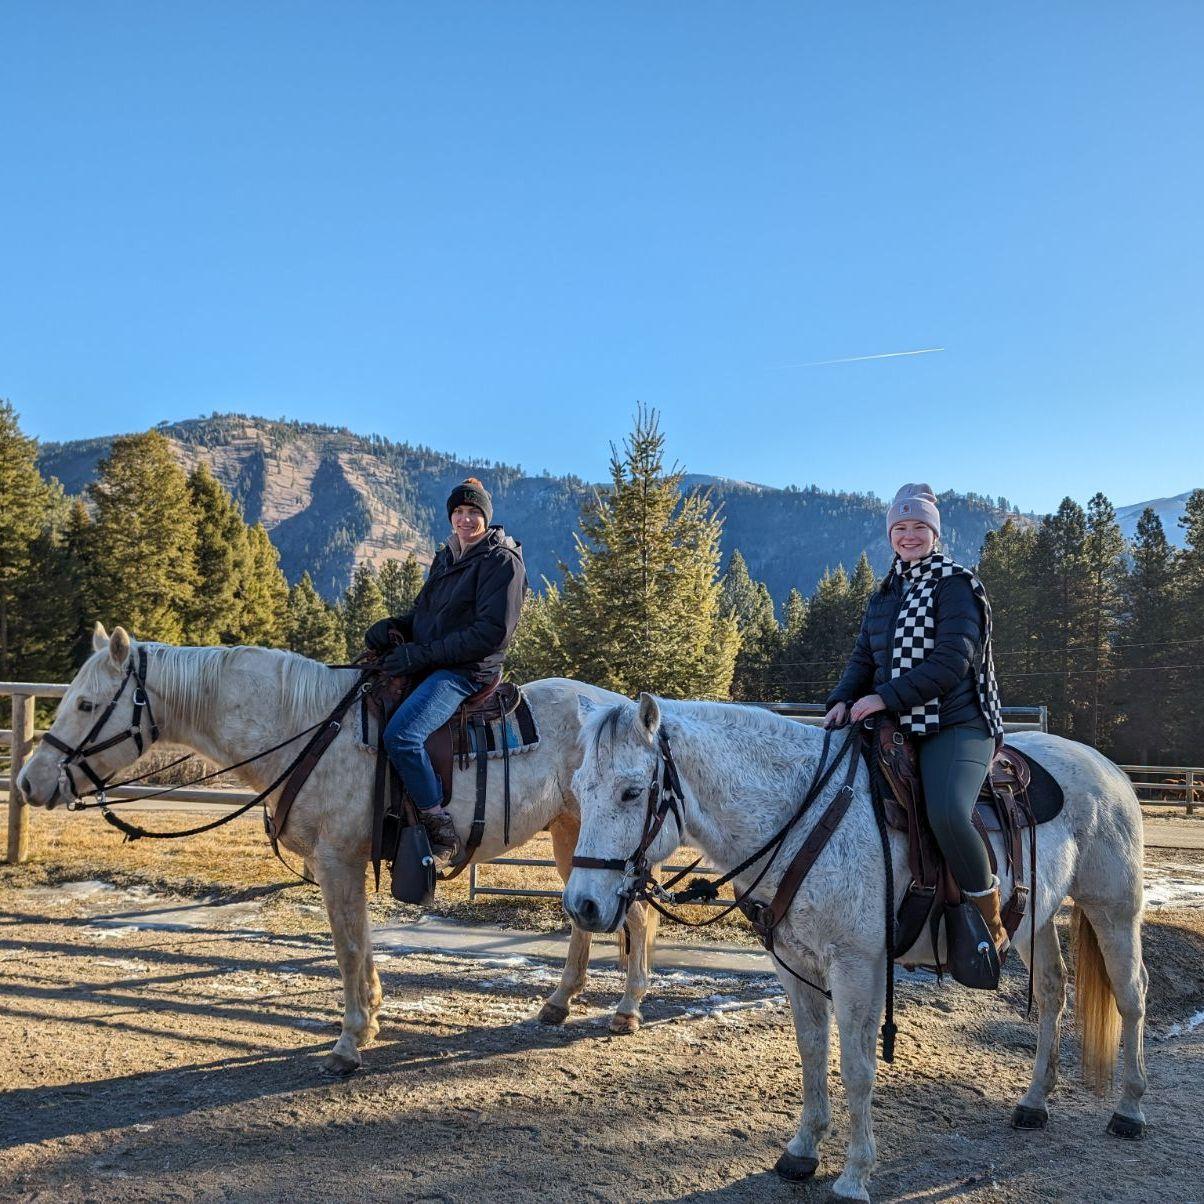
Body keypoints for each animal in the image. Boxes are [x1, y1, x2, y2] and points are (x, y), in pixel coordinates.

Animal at [15, 623, 661, 1076]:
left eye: (87, 705)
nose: (28, 781)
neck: (304, 727)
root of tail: (625, 715)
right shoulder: (342, 864)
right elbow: (358, 946)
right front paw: (367, 1023)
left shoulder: (337, 860)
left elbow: (348, 949)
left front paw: (349, 1043)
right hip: (572, 835)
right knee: (588, 918)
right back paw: (558, 1002)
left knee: (636, 916)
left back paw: (627, 1010)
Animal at [563, 693, 1147, 1203]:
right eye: (579, 788)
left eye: (631, 792)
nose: (582, 905)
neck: (804, 814)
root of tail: (1107, 768)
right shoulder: (793, 964)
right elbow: (812, 1054)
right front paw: (802, 1150)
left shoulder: (856, 967)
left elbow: (858, 1067)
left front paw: (854, 1175)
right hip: (1034, 921)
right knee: (1051, 993)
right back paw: (1034, 1101)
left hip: (1114, 909)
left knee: (1131, 996)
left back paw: (1129, 1110)